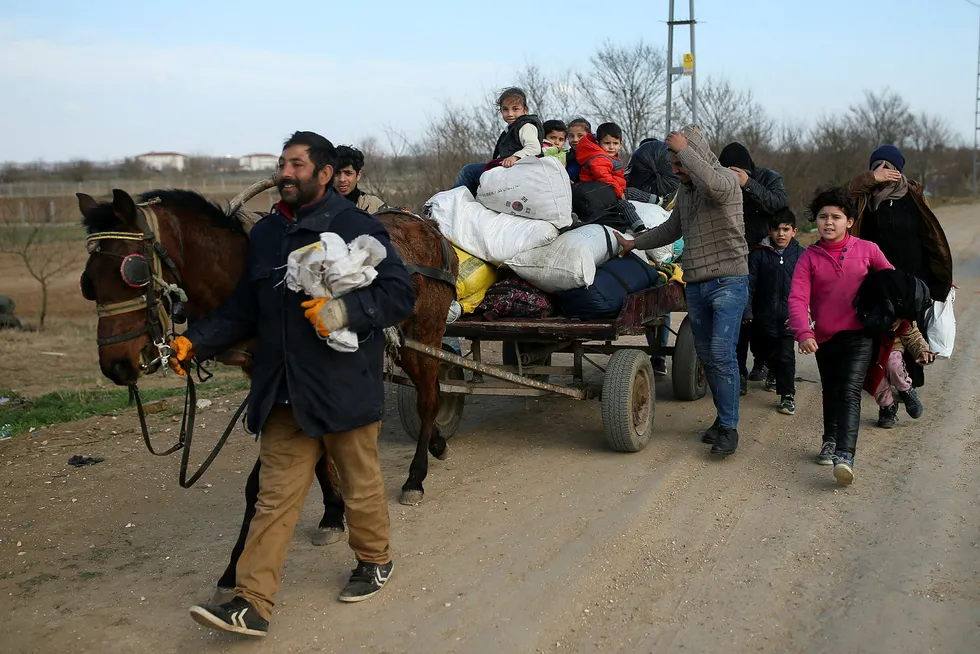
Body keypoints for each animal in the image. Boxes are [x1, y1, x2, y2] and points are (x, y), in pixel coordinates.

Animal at [77, 187, 460, 520]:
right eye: (89, 282)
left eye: (134, 271)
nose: (116, 365)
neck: (240, 271)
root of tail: (430, 229)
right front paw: (332, 510)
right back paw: (436, 443)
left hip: (427, 330)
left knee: (428, 397)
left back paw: (415, 477)